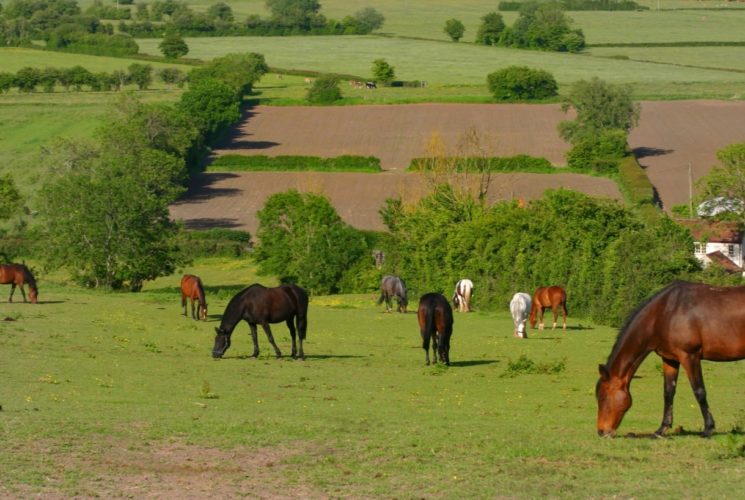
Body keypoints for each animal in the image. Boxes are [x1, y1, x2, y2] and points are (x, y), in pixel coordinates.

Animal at [596, 282, 745, 438]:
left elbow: (699, 391)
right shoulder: (669, 359)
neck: (664, 314)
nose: (601, 431)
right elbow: (668, 392)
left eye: (602, 397)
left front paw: (708, 429)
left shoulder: (689, 356)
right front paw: (662, 429)